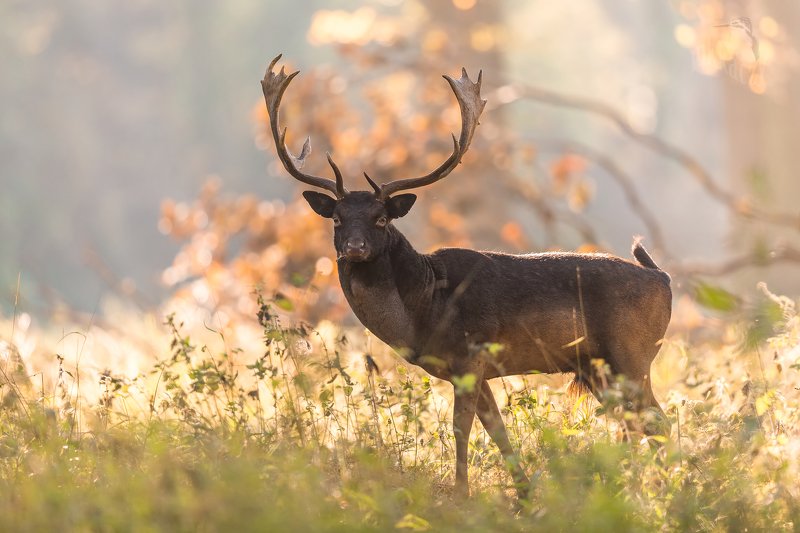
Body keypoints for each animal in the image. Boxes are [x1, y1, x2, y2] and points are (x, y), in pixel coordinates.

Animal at [261, 55, 672, 500]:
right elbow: (497, 430)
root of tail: (664, 279)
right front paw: (523, 494)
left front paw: (462, 495)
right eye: (336, 218)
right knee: (637, 424)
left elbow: (462, 429)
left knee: (656, 420)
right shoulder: (479, 370)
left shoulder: (468, 356)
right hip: (598, 368)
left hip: (632, 353)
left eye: (381, 218)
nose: (354, 247)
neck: (423, 311)